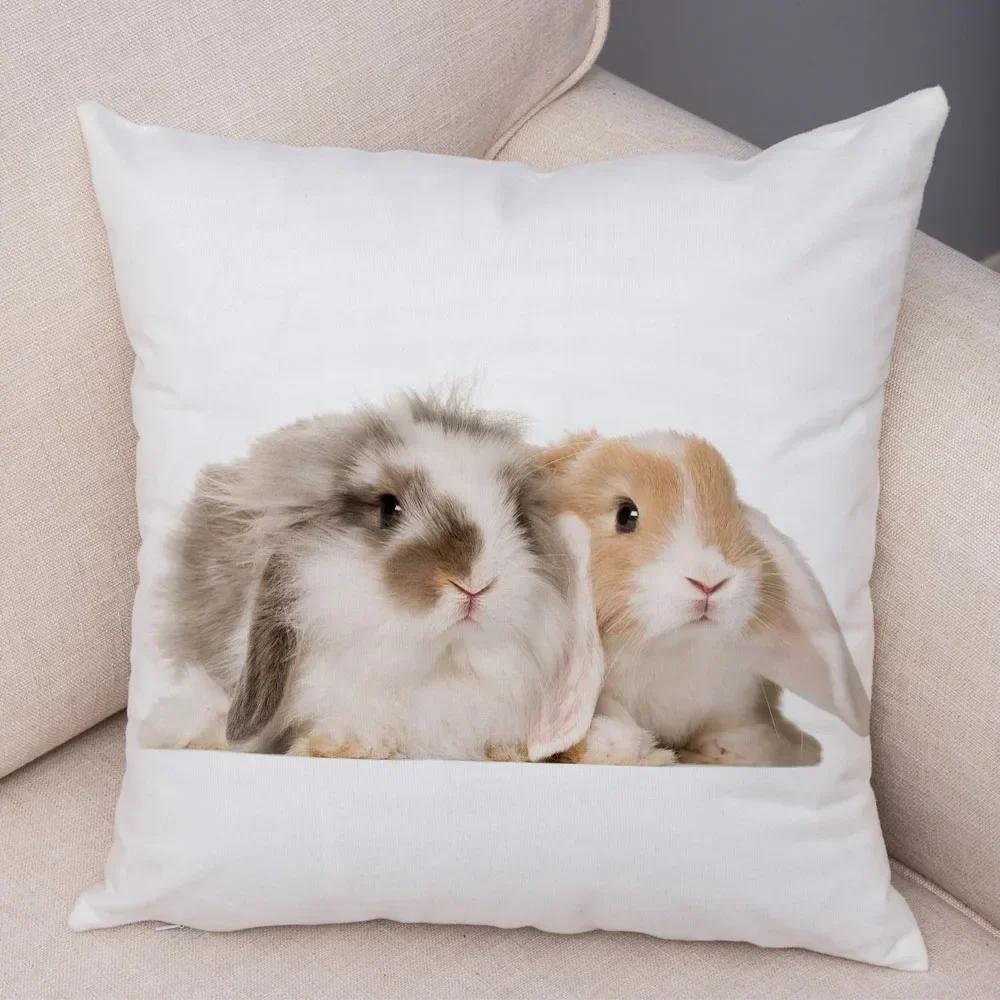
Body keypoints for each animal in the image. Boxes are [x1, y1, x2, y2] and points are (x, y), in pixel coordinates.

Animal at [152, 392, 603, 762]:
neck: (436, 666)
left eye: (517, 516)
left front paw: (507, 750)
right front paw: (340, 743)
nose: (473, 582)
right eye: (389, 509)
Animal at [540, 431, 871, 766]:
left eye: (732, 510)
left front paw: (739, 746)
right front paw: (637, 747)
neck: (676, 649)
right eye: (625, 515)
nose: (710, 580)